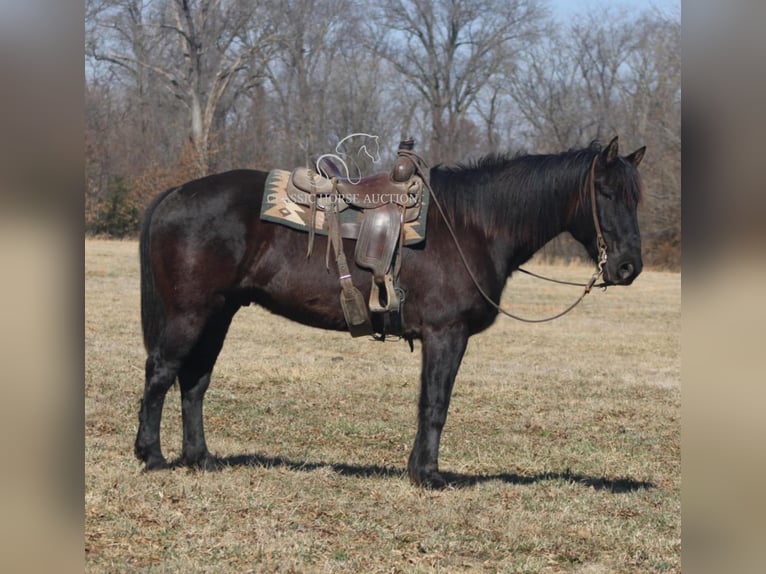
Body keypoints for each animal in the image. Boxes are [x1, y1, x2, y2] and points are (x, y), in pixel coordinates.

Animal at [135, 136, 644, 490]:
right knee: (162, 372)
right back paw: (151, 456)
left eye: (635, 197)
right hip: (190, 313)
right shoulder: (446, 333)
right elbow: (436, 403)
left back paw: (199, 458)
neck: (472, 226)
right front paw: (430, 476)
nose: (627, 267)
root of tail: (176, 193)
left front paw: (417, 469)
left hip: (219, 313)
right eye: (604, 191)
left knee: (194, 380)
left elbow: (426, 402)